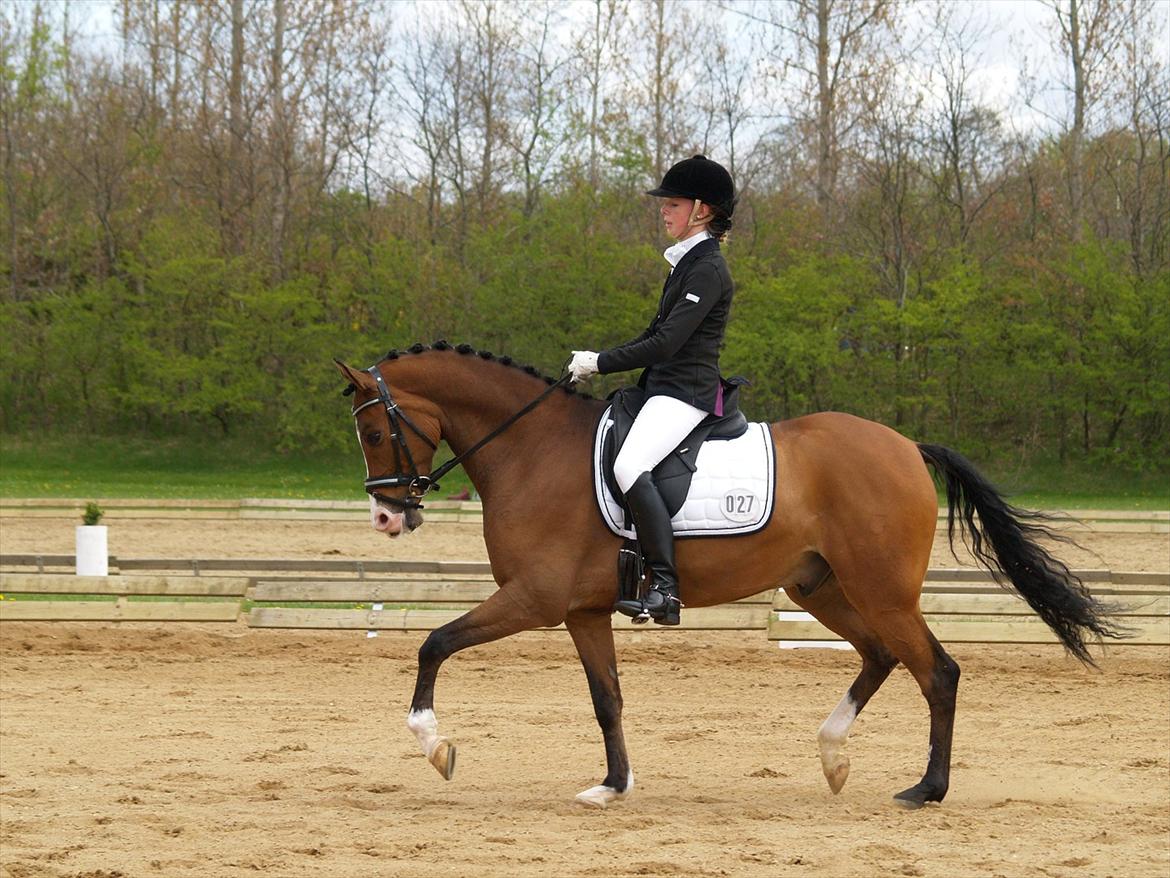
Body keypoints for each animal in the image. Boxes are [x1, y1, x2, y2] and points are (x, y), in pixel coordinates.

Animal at [334, 341, 1123, 810]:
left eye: (373, 431)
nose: (387, 517)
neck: (531, 449)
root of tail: (905, 446)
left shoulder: (534, 599)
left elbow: (434, 642)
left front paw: (435, 745)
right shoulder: (581, 611)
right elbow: (606, 699)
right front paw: (613, 786)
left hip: (881, 589)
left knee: (937, 671)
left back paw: (926, 789)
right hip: (820, 587)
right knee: (881, 655)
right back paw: (833, 756)